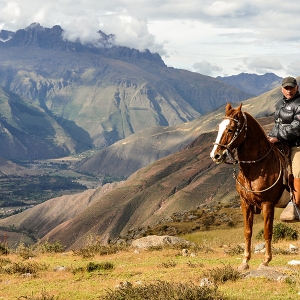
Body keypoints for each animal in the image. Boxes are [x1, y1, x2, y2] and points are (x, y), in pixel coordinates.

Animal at [210, 103, 288, 272]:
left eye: (230, 129)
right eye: (219, 127)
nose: (215, 155)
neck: (257, 167)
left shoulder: (267, 204)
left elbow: (267, 232)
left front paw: (265, 260)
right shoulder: (245, 203)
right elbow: (247, 231)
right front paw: (245, 261)